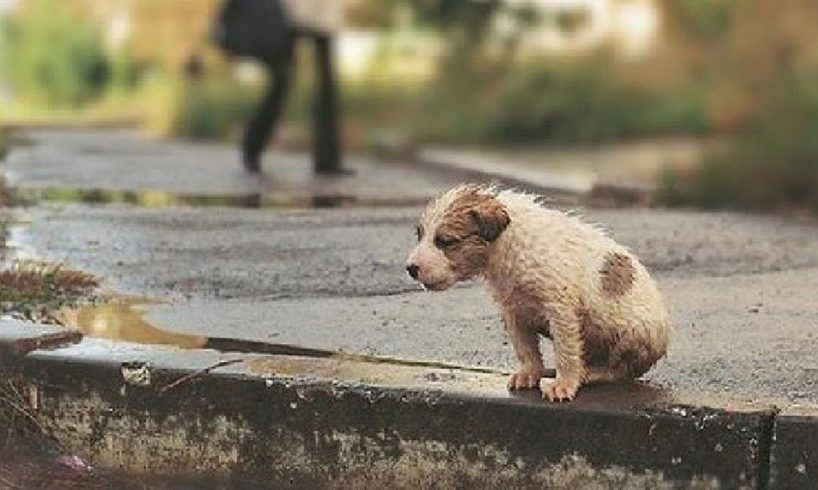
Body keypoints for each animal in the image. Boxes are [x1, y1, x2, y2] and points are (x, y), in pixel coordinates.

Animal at [404, 184, 668, 402]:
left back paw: (591, 372)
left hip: (633, 334)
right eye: (420, 235)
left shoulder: (560, 308)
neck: (507, 243)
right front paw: (530, 373)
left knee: (620, 369)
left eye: (445, 241)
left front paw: (564, 384)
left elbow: (566, 351)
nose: (410, 269)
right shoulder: (513, 311)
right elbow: (526, 348)